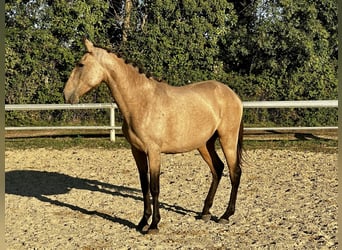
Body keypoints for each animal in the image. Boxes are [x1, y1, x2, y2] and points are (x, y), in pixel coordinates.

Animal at [64, 39, 244, 234]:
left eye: (80, 64)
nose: (66, 95)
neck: (142, 102)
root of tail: (232, 94)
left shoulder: (154, 152)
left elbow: (155, 187)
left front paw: (154, 225)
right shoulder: (137, 151)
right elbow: (144, 187)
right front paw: (143, 221)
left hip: (228, 139)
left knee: (234, 172)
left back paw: (226, 215)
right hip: (204, 144)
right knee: (217, 169)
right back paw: (205, 212)